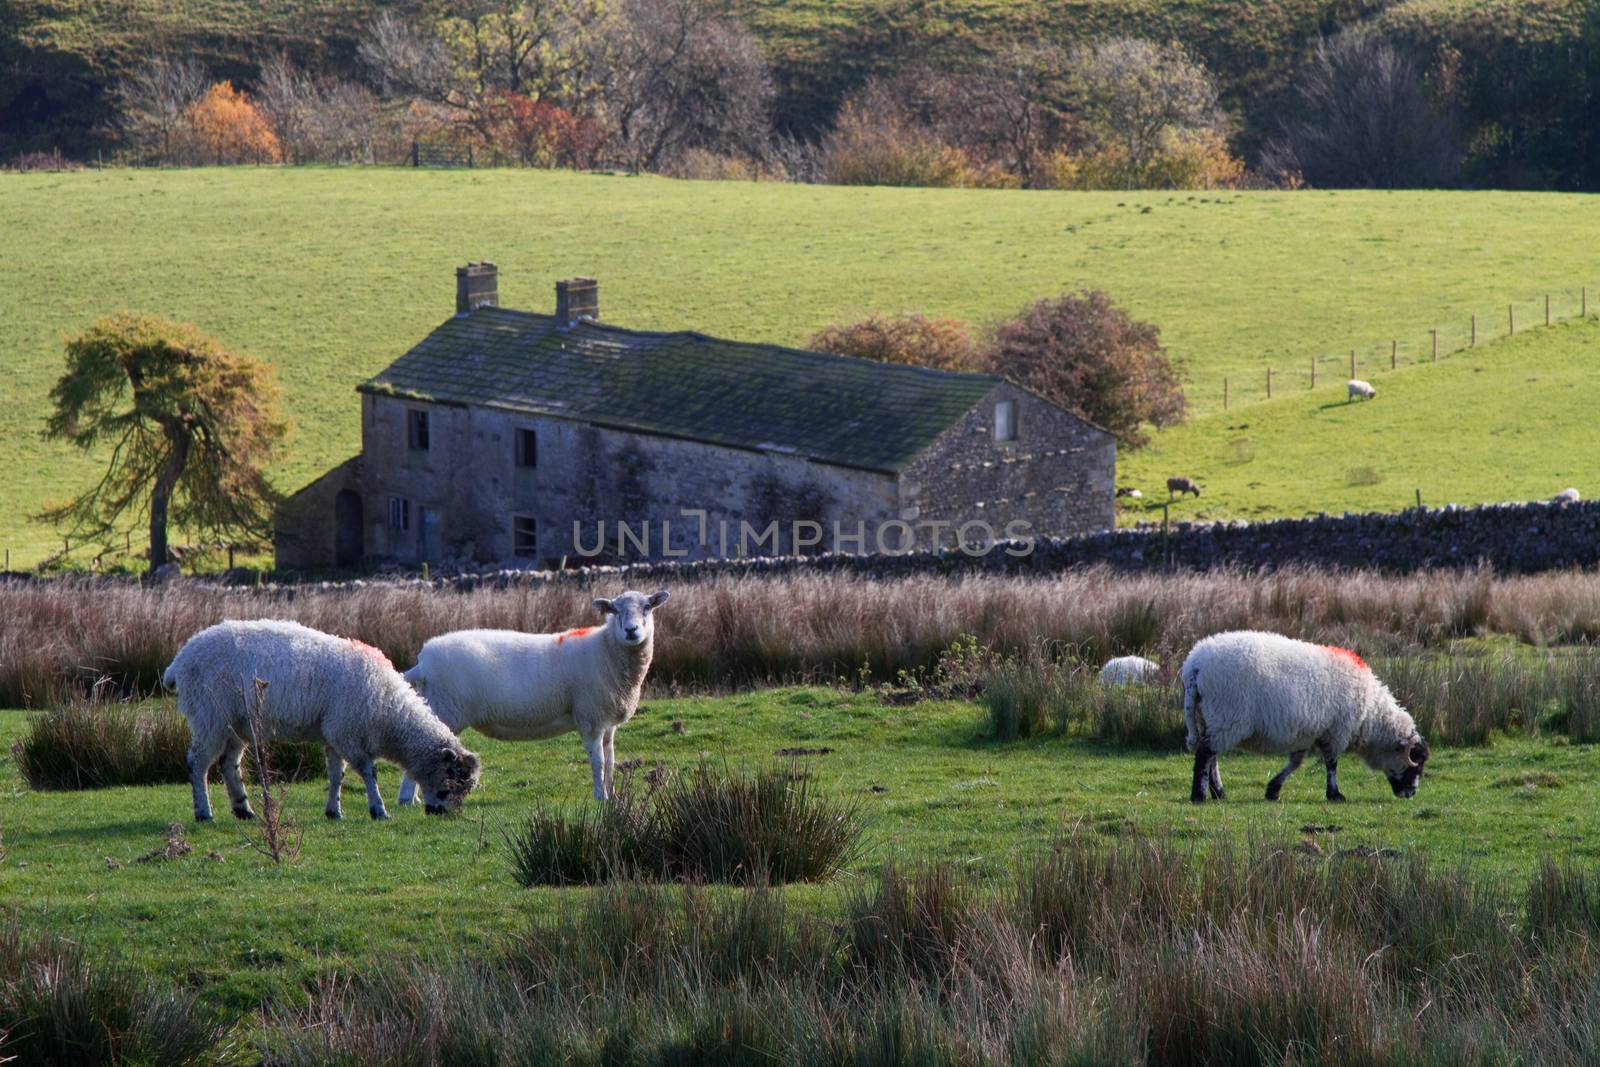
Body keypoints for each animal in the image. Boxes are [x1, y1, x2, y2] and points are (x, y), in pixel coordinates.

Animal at [167, 617, 486, 825]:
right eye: (448, 784)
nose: (441, 814)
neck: (390, 710)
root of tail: (180, 659)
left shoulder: (334, 734)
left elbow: (336, 775)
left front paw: (334, 811)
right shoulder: (347, 731)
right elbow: (368, 772)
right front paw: (378, 810)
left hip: (237, 723)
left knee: (228, 763)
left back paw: (244, 810)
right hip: (209, 715)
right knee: (198, 763)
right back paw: (204, 813)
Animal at [403, 588, 672, 806]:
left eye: (647, 607)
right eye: (615, 610)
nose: (631, 631)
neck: (606, 650)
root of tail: (423, 662)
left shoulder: (607, 721)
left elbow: (610, 760)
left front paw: (613, 794)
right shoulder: (590, 717)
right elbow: (598, 761)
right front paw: (601, 797)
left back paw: (412, 798)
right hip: (446, 708)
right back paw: (407, 800)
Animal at [1184, 630, 1433, 806]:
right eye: (1416, 762)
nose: (1411, 793)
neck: (1371, 715)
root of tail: (1194, 665)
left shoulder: (1307, 733)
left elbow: (1296, 762)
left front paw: (1273, 790)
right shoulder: (1336, 731)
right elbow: (1332, 763)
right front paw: (1335, 794)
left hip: (1212, 718)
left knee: (1211, 755)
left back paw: (1218, 792)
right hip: (1227, 716)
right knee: (1205, 754)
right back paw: (1199, 795)